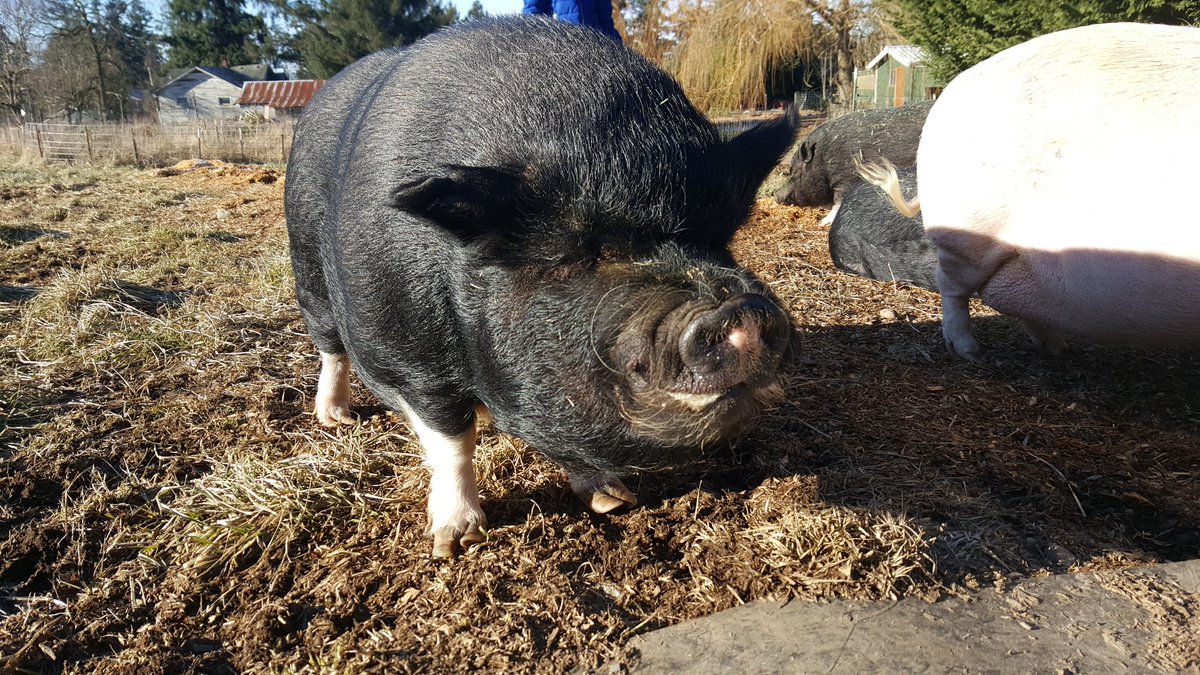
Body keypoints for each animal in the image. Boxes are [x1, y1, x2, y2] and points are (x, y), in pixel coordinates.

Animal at [284, 16, 796, 557]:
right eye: (581, 249)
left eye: (723, 236)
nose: (743, 309)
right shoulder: (409, 355)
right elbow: (451, 438)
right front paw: (454, 542)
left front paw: (614, 501)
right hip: (309, 271)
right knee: (330, 347)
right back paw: (334, 418)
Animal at [774, 101, 932, 225]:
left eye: (795, 171)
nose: (776, 195)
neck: (823, 160)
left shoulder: (846, 177)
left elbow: (838, 201)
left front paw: (823, 222)